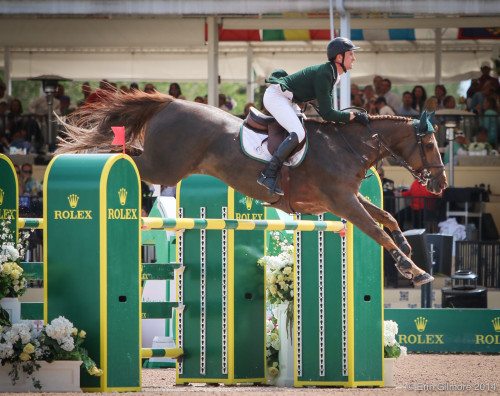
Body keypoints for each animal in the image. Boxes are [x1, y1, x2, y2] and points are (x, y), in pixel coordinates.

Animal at [58, 91, 450, 286]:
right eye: (431, 144)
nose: (442, 184)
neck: (347, 146)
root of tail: (170, 103)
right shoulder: (342, 202)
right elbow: (376, 230)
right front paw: (413, 270)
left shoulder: (345, 200)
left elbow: (388, 218)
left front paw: (407, 249)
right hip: (163, 163)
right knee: (129, 157)